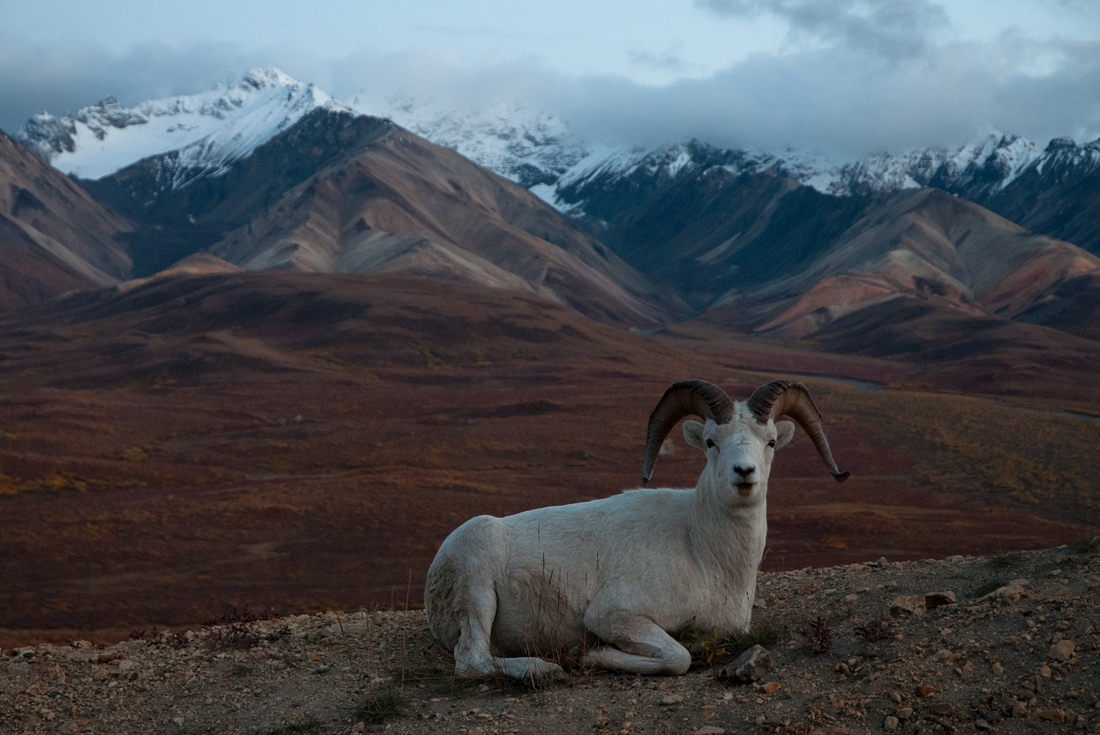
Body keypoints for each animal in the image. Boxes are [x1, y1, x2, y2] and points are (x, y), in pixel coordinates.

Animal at [424, 379, 849, 680]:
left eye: (772, 442)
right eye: (711, 441)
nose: (744, 472)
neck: (705, 554)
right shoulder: (612, 616)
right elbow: (679, 657)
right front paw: (586, 655)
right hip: (478, 591)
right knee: (471, 661)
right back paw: (546, 670)